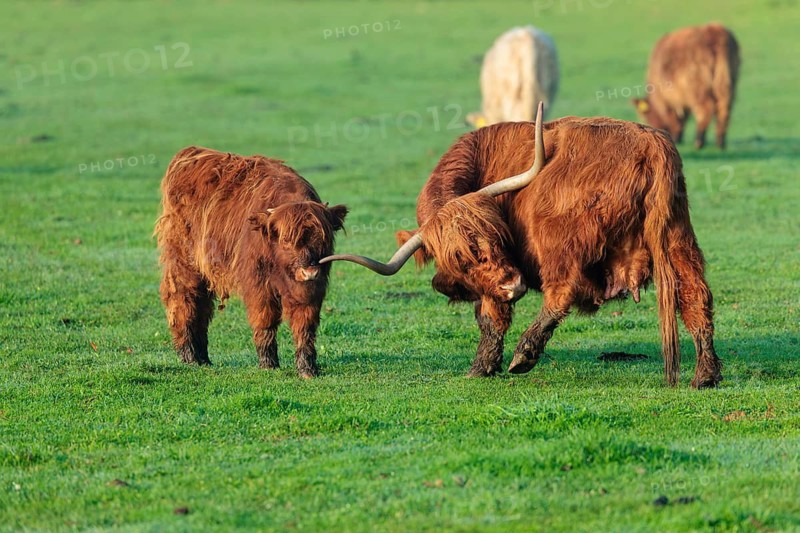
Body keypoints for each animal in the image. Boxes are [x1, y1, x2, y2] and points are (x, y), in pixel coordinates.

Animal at [154, 146, 348, 378]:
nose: (309, 272)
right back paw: (189, 356)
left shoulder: (311, 289)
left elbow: (305, 324)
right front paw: (268, 363)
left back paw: (203, 358)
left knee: (202, 308)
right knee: (183, 301)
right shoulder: (258, 284)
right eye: (286, 240)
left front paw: (307, 367)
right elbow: (265, 319)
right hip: (183, 264)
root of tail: (191, 152)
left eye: (324, 239)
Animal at [322, 104, 723, 388]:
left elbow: (491, 317)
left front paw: (481, 367)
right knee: (696, 297)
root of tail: (650, 143)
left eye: (496, 237)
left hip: (562, 242)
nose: (514, 285)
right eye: (460, 259)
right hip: (678, 240)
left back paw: (524, 355)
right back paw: (706, 375)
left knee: (560, 293)